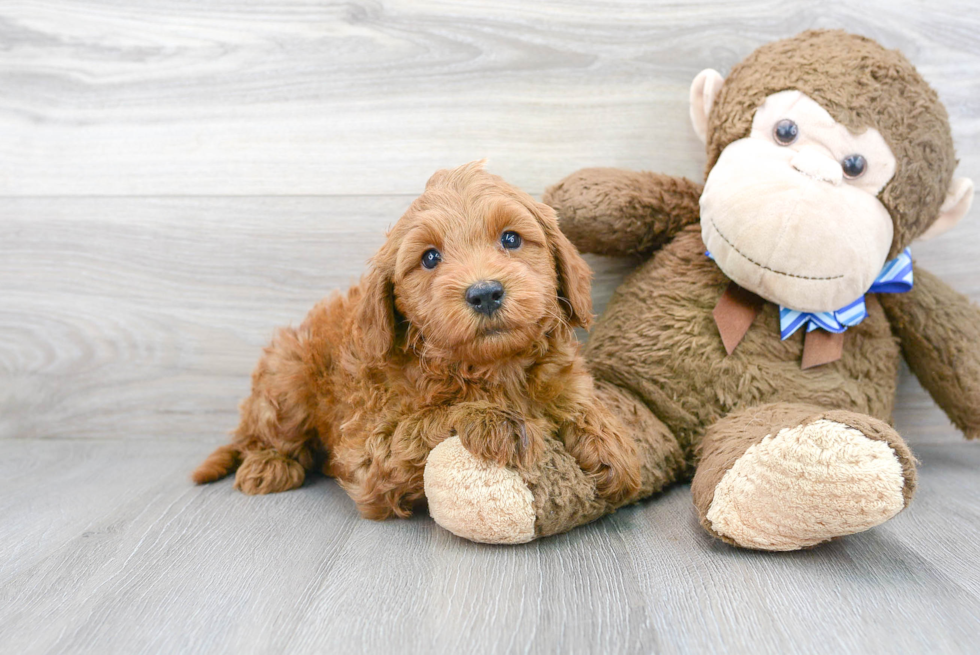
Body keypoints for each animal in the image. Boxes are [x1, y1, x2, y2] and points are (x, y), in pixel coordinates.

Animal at [193, 161, 644, 520]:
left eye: (511, 239)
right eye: (429, 258)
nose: (485, 293)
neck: (494, 367)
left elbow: (576, 401)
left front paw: (609, 441)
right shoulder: (368, 452)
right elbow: (431, 418)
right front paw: (496, 418)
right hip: (286, 376)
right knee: (266, 434)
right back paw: (268, 464)